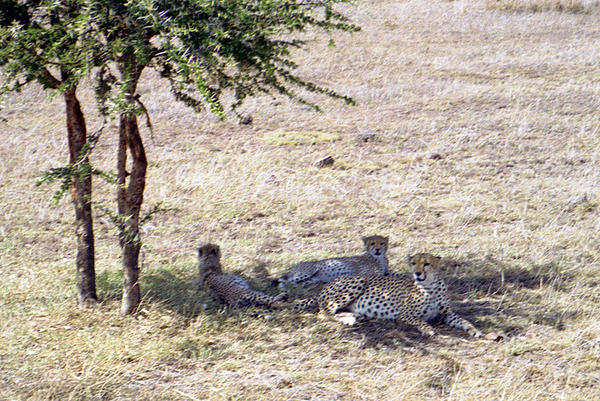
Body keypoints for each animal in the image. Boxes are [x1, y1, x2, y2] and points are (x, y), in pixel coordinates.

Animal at [296, 253, 482, 334]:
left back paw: (352, 316)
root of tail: (326, 285)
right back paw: (347, 319)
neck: (430, 286)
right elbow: (420, 321)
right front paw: (428, 329)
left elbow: (462, 320)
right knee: (323, 312)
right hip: (358, 281)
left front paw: (473, 329)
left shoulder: (446, 314)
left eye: (426, 263)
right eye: (413, 263)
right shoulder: (404, 315)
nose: (417, 273)